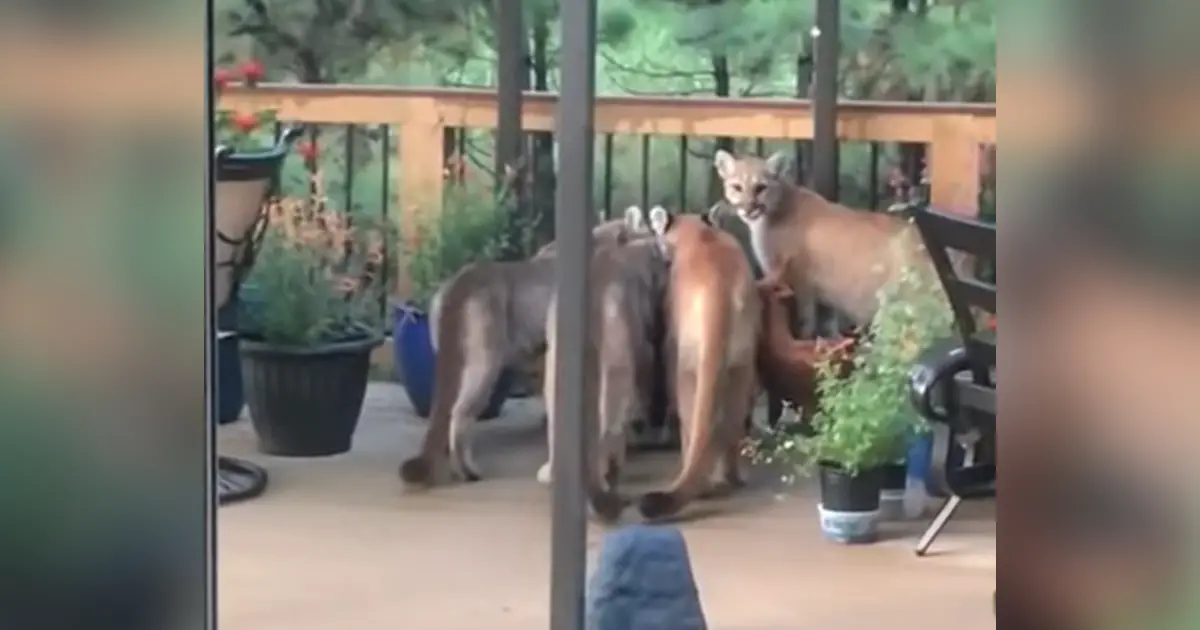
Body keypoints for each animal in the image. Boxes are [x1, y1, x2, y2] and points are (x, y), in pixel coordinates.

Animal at [638, 206, 758, 520]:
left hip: (687, 366)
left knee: (691, 419)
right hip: (741, 366)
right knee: (731, 421)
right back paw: (731, 479)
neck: (699, 234)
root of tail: (718, 286)